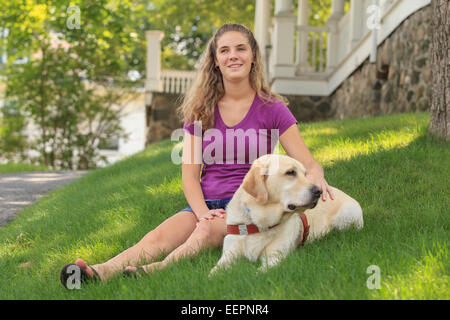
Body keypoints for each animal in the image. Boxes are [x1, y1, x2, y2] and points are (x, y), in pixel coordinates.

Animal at [210, 155, 362, 276]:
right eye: (290, 172)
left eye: (305, 174)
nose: (318, 191)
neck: (259, 223)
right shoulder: (228, 255)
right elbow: (213, 273)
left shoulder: (275, 257)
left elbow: (257, 273)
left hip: (346, 218)